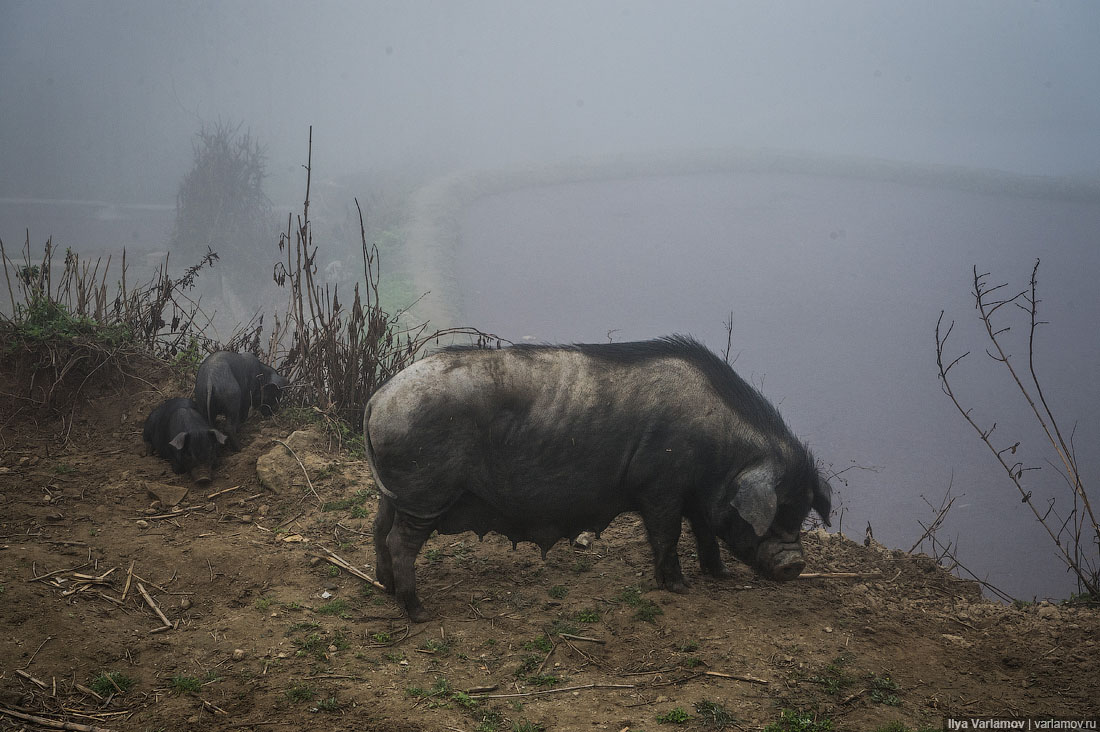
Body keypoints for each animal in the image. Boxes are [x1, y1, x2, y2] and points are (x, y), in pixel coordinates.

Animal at [365, 334, 827, 620]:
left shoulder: (697, 495)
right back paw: (419, 612)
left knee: (377, 527)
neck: (721, 449)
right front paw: (679, 588)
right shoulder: (660, 486)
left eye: (803, 510)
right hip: (424, 493)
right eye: (776, 511)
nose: (796, 564)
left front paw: (722, 575)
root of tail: (377, 399)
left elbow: (704, 532)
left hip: (398, 493)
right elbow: (668, 533)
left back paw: (384, 588)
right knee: (398, 541)